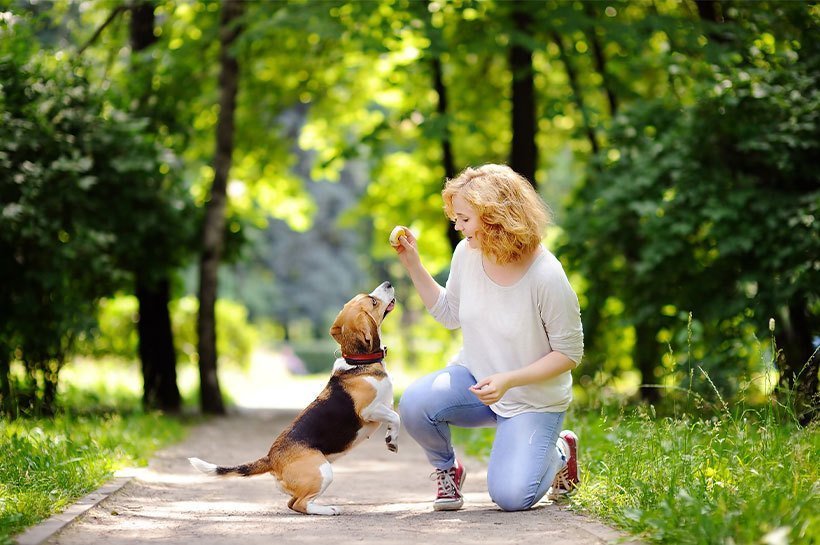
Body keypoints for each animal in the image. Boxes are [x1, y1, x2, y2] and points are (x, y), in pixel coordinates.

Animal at [189, 280, 400, 516]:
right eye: (373, 301)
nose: (388, 283)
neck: (359, 362)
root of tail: (271, 458)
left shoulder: (385, 406)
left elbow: (393, 416)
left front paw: (390, 437)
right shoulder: (369, 410)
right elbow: (395, 416)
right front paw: (392, 440)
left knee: (293, 503)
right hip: (323, 471)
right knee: (301, 503)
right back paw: (328, 509)